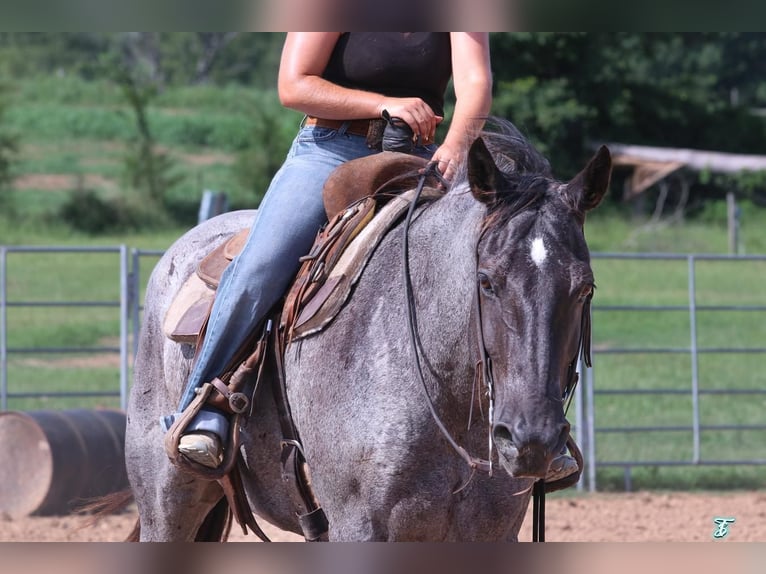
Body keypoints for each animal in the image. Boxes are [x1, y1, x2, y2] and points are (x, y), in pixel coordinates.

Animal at [126, 119, 612, 544]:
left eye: (585, 288)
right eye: (486, 281)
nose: (531, 439)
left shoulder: (492, 532)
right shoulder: (361, 527)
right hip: (166, 504)